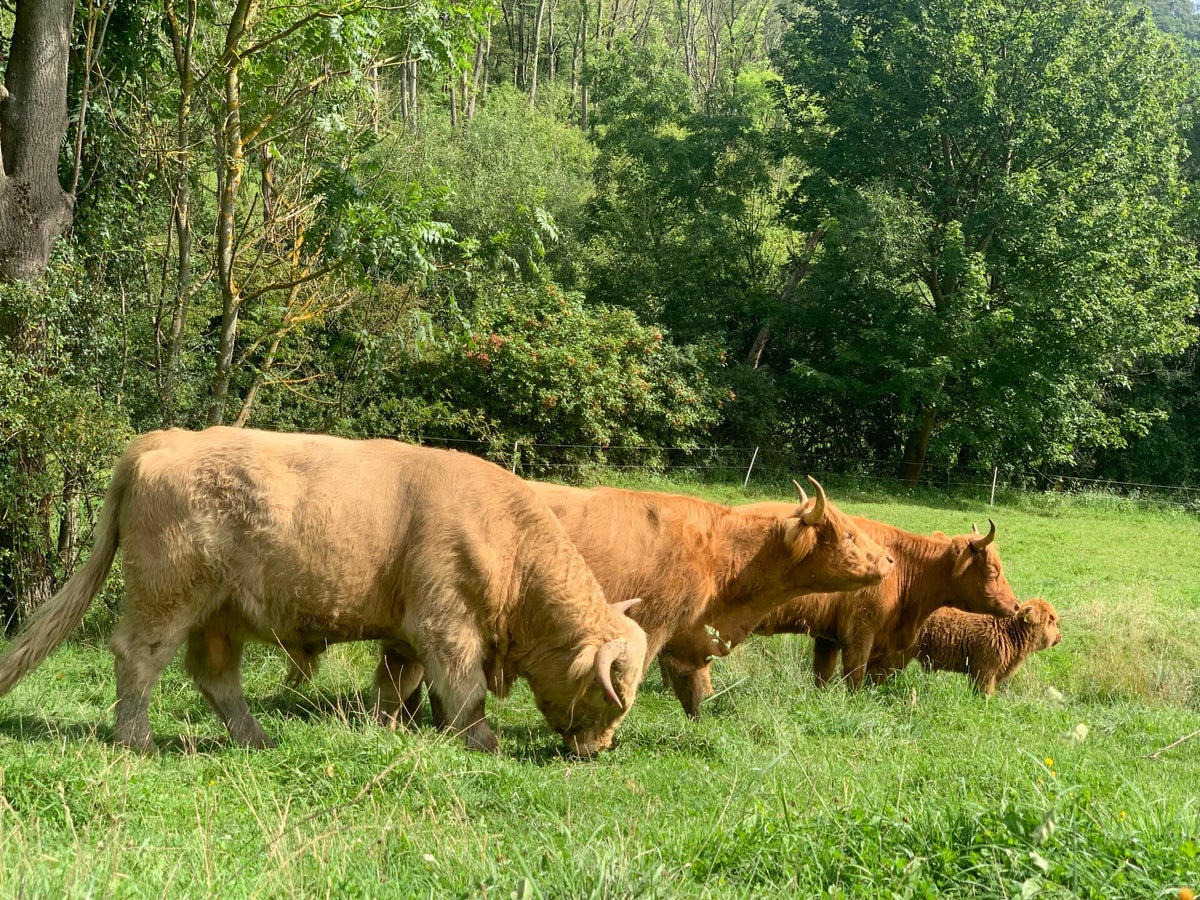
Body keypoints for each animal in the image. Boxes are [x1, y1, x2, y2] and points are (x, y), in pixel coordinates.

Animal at [0, 427, 649, 757]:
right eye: (610, 694)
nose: (598, 749)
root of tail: (165, 438)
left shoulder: (408, 631)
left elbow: (397, 686)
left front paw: (390, 729)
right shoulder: (446, 622)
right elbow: (465, 692)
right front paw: (482, 741)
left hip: (218, 611)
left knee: (214, 675)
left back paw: (256, 738)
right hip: (168, 591)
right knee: (139, 656)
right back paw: (138, 741)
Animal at [703, 507, 1021, 700]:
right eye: (993, 570)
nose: (1016, 606)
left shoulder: (828, 636)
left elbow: (824, 675)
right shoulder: (860, 634)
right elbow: (854, 677)